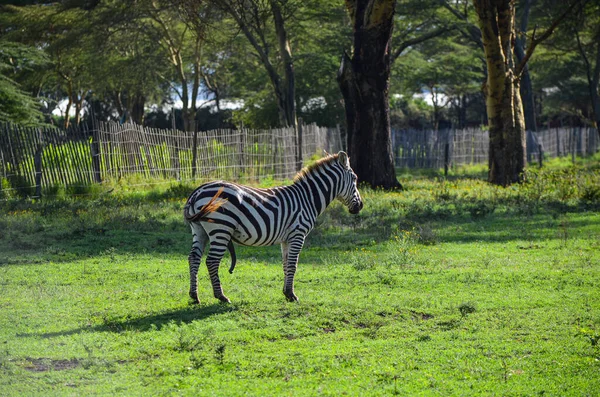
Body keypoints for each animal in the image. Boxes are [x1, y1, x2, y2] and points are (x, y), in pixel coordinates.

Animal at [180, 150, 364, 302]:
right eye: (355, 179)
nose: (360, 206)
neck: (308, 198)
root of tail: (197, 192)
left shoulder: (286, 238)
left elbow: (286, 264)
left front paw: (286, 292)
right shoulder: (298, 234)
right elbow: (293, 264)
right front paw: (291, 295)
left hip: (200, 230)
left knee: (194, 257)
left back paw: (194, 295)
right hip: (221, 229)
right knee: (211, 261)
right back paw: (221, 296)